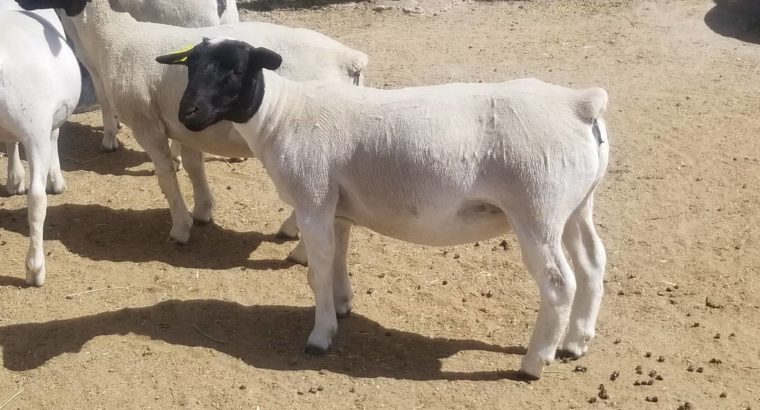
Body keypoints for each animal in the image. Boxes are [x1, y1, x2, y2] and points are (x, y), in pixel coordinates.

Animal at [0, 4, 81, 286]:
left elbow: (9, 142)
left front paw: (14, 180)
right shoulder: (47, 120)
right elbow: (55, 137)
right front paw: (55, 180)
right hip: (34, 125)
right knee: (36, 199)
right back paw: (35, 268)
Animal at [17, 0, 367, 246]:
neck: (116, 37)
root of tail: (350, 59)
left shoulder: (147, 125)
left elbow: (166, 178)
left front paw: (181, 227)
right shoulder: (184, 126)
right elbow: (193, 166)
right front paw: (202, 211)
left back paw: (291, 231)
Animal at [158, 38, 610, 380]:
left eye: (234, 71)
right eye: (190, 66)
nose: (187, 112)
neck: (281, 116)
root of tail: (580, 104)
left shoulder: (312, 200)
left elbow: (317, 271)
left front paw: (320, 336)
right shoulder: (336, 207)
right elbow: (337, 258)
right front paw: (342, 305)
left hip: (538, 209)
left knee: (559, 282)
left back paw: (534, 362)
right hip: (576, 205)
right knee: (592, 262)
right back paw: (576, 344)